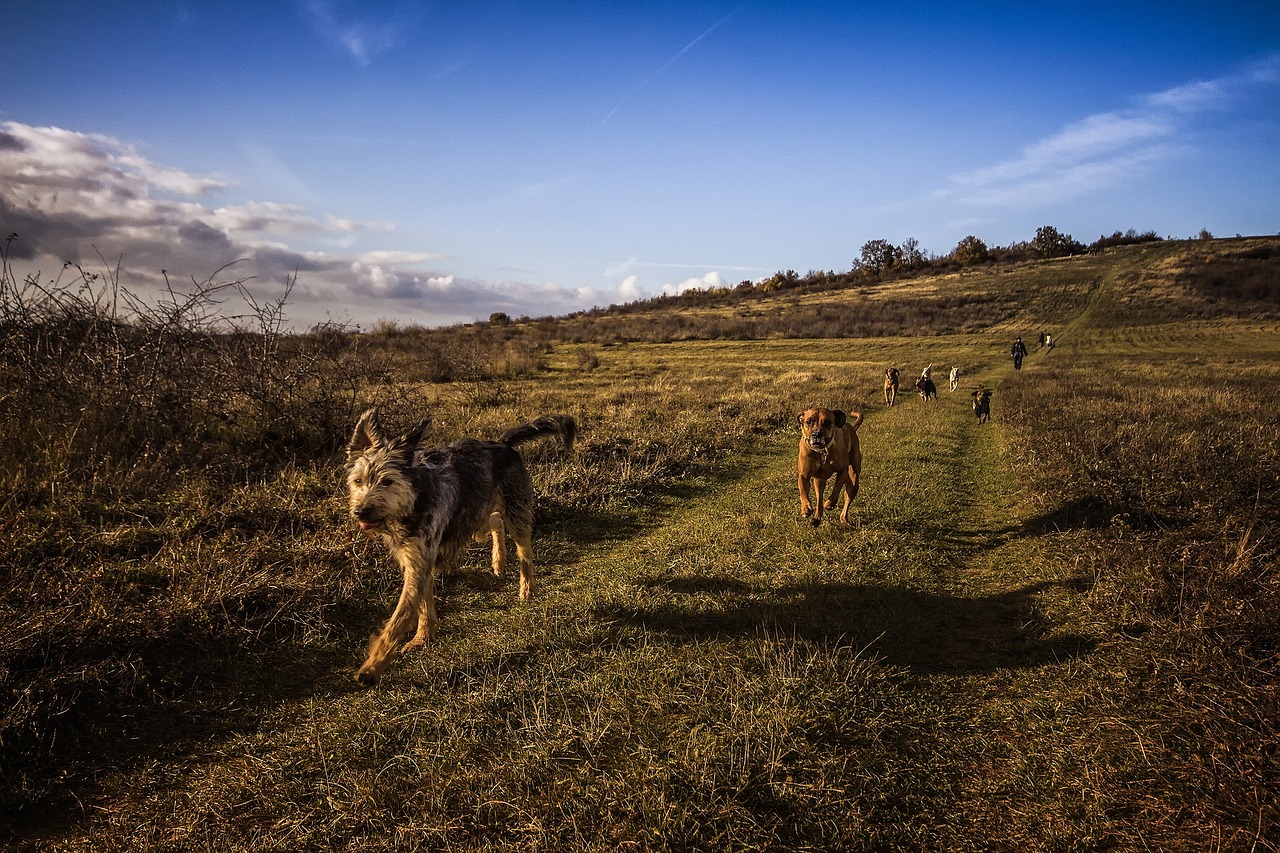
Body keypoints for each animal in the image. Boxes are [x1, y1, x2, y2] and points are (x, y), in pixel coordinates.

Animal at [345, 407, 576, 686]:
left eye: (387, 481)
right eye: (358, 481)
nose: (360, 511)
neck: (414, 500)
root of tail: (501, 443)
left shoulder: (420, 560)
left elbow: (398, 619)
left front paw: (371, 668)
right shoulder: (415, 558)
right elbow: (422, 603)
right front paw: (424, 635)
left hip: (515, 511)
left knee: (525, 551)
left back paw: (527, 588)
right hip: (475, 519)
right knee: (495, 521)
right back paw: (498, 561)